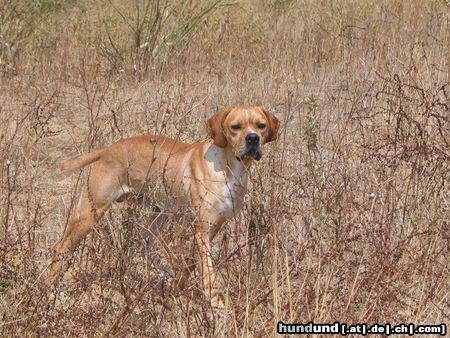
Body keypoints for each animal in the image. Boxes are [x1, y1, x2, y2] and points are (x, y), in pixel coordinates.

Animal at [50, 105, 282, 306]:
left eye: (261, 125)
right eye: (236, 127)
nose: (253, 139)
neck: (229, 168)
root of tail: (109, 149)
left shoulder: (211, 229)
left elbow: (190, 264)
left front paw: (176, 290)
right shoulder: (202, 230)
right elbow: (208, 273)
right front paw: (216, 305)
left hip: (157, 215)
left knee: (145, 242)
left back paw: (163, 274)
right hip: (91, 212)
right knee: (61, 247)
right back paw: (54, 292)